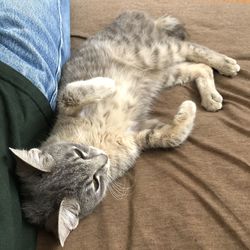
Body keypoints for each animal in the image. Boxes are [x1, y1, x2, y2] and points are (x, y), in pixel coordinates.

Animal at [10, 10, 240, 245]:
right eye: (95, 182)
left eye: (79, 153)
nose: (103, 158)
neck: (98, 142)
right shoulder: (138, 137)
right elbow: (172, 136)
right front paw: (187, 111)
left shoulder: (66, 106)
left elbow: (71, 92)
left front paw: (107, 84)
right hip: (165, 72)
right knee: (199, 68)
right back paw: (211, 96)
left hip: (155, 52)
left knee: (192, 49)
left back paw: (226, 65)